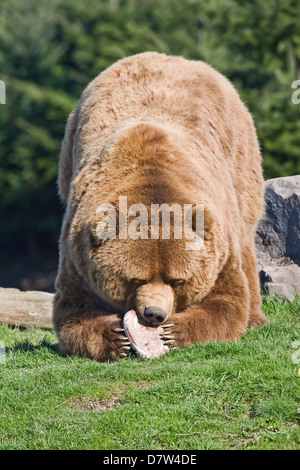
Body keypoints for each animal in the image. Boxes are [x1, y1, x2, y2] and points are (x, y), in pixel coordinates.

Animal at [53, 51, 268, 362]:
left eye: (177, 279)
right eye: (135, 277)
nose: (154, 314)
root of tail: (174, 57)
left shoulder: (218, 245)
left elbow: (226, 300)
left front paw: (176, 331)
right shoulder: (77, 250)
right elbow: (72, 309)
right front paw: (115, 336)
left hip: (240, 158)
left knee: (246, 233)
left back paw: (255, 318)